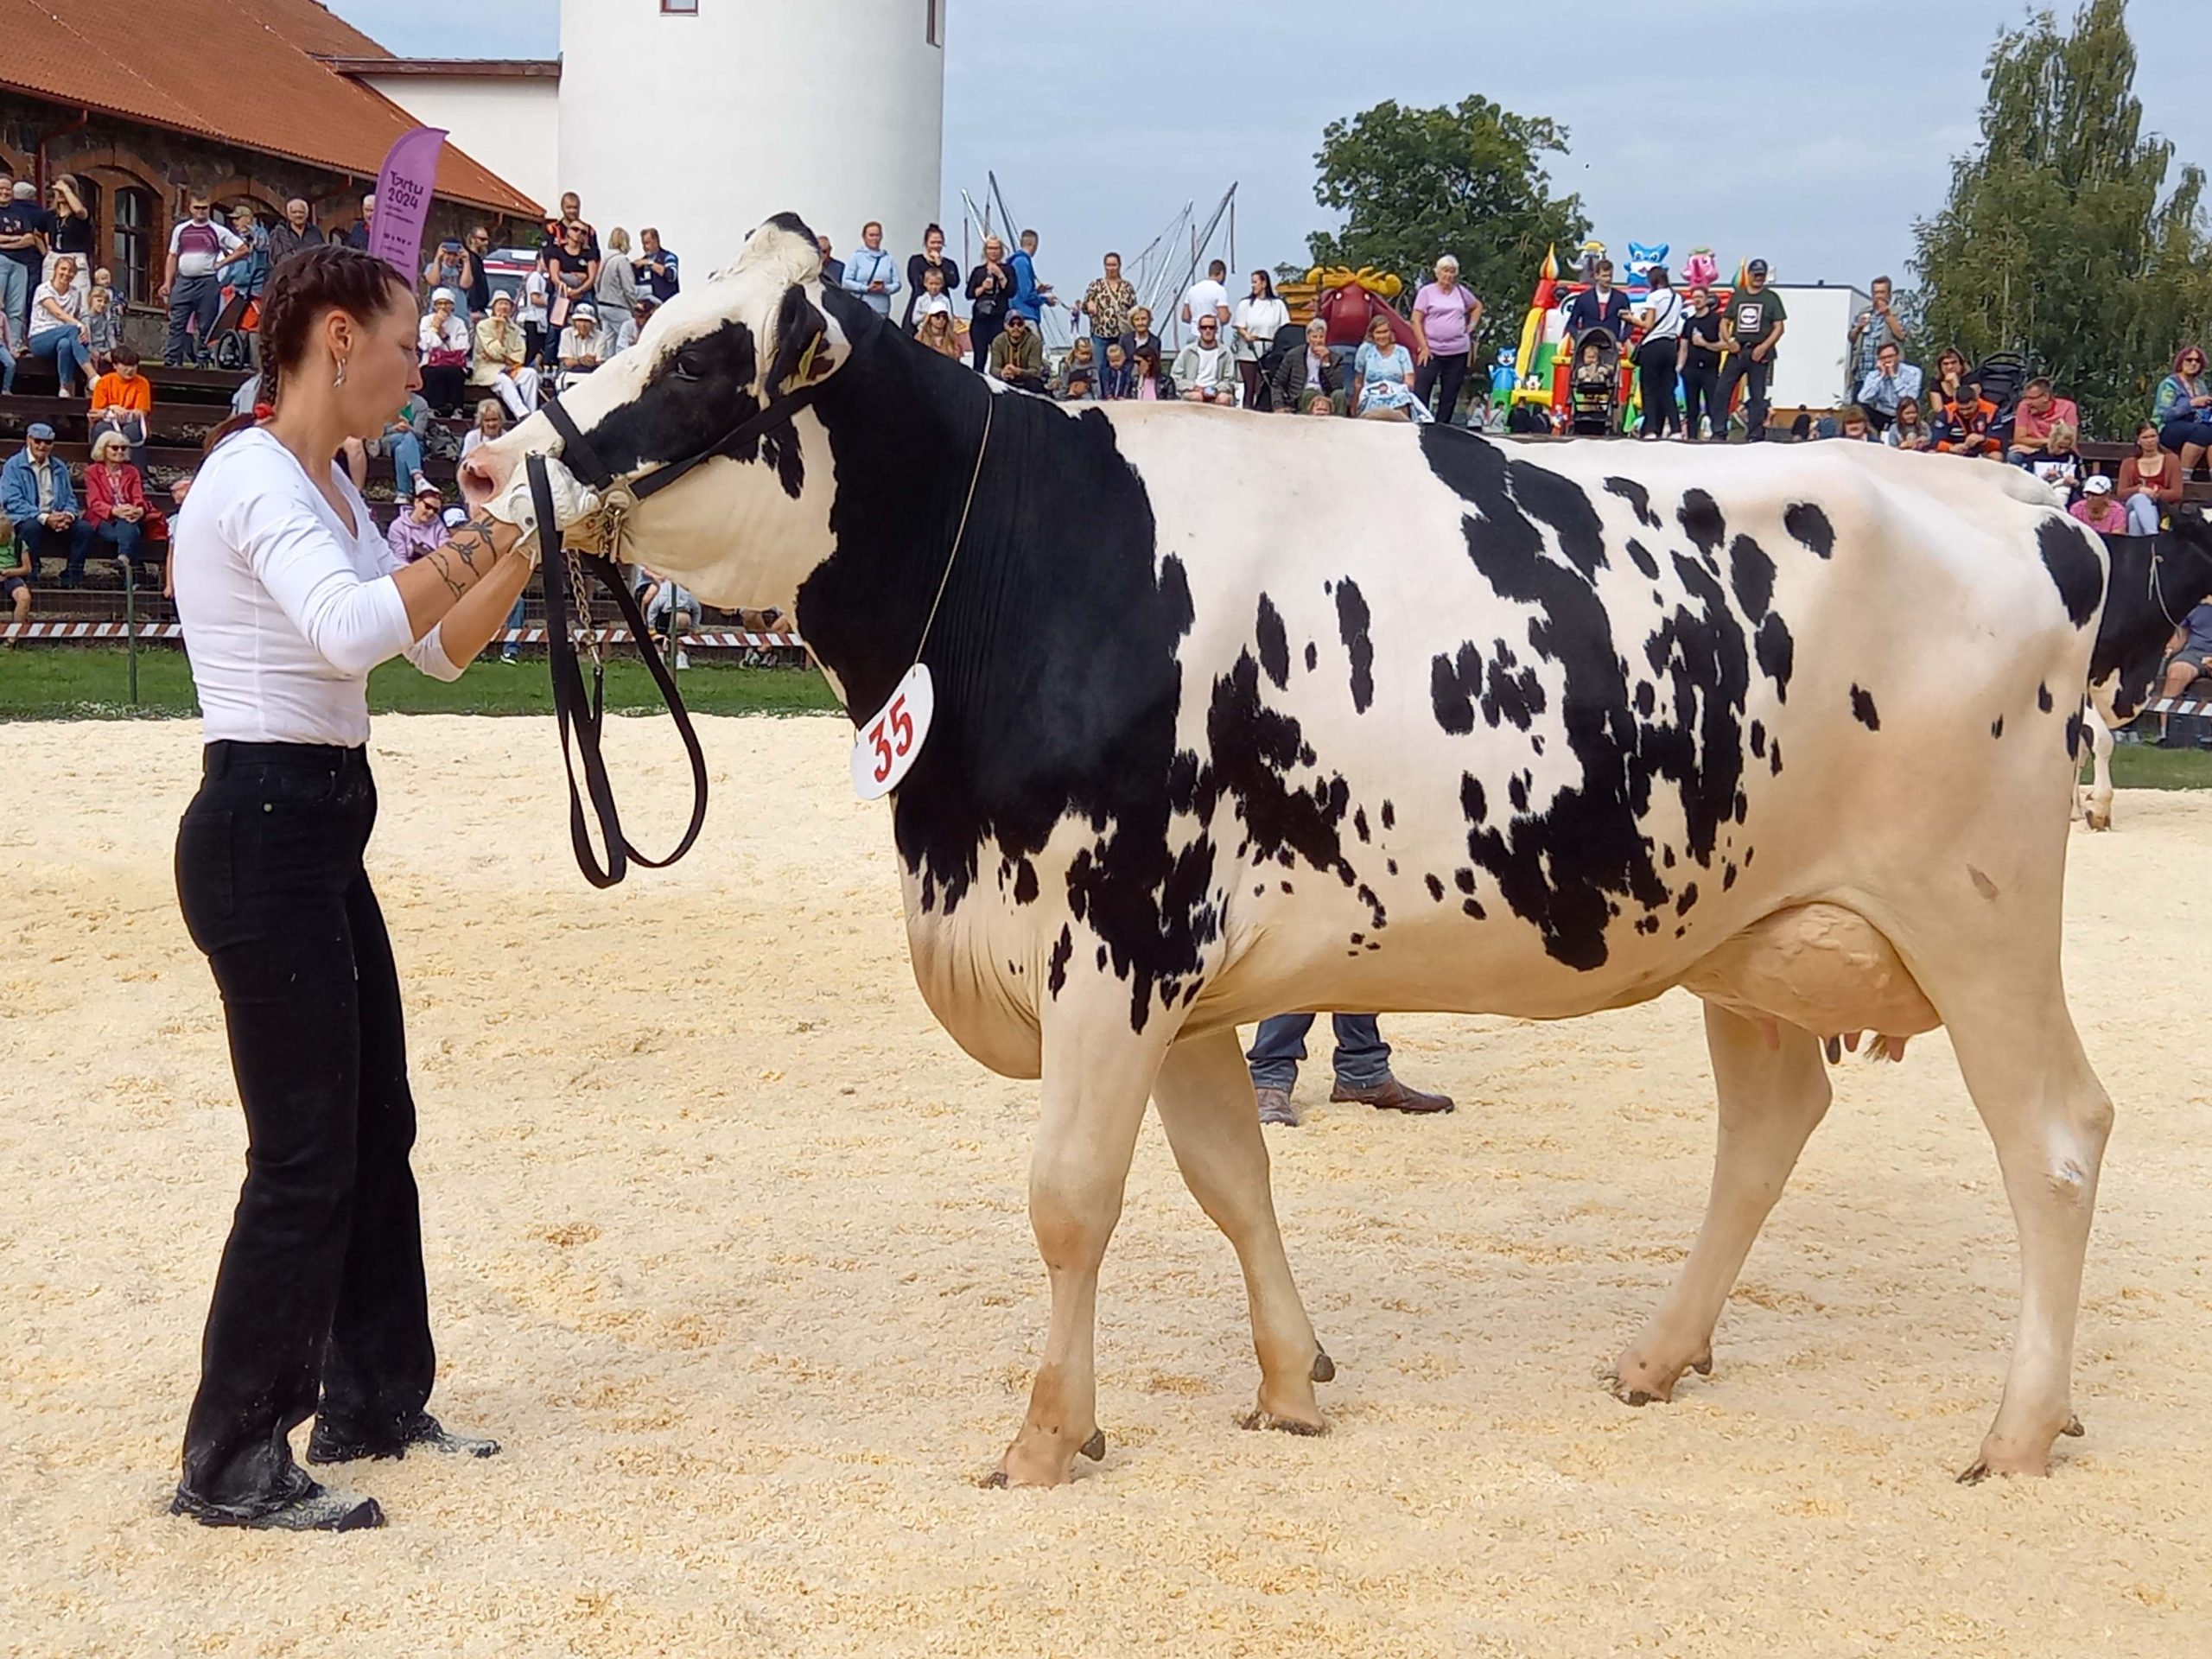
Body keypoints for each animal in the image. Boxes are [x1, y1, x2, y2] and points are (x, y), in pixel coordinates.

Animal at [471, 218, 2123, 1495]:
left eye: (700, 356)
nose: (491, 465)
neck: (1018, 558)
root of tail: (2025, 499)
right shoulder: (1184, 972)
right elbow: (1229, 1178)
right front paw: (1289, 1384)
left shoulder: (1116, 937)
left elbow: (1071, 1195)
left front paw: (1045, 1440)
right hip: (1751, 932)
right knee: (1770, 1126)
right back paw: (1659, 1358)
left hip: (1978, 916)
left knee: (2055, 1135)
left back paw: (2020, 1431)